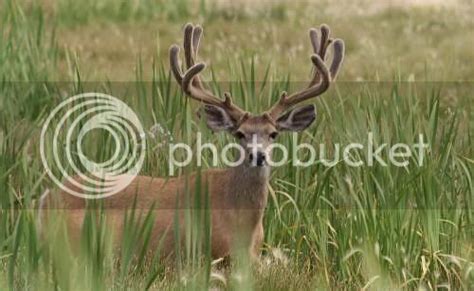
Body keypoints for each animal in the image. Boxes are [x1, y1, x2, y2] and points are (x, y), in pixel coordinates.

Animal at [39, 24, 344, 264]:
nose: (258, 156)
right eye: (240, 133)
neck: (243, 224)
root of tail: (47, 198)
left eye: (273, 134)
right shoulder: (213, 252)